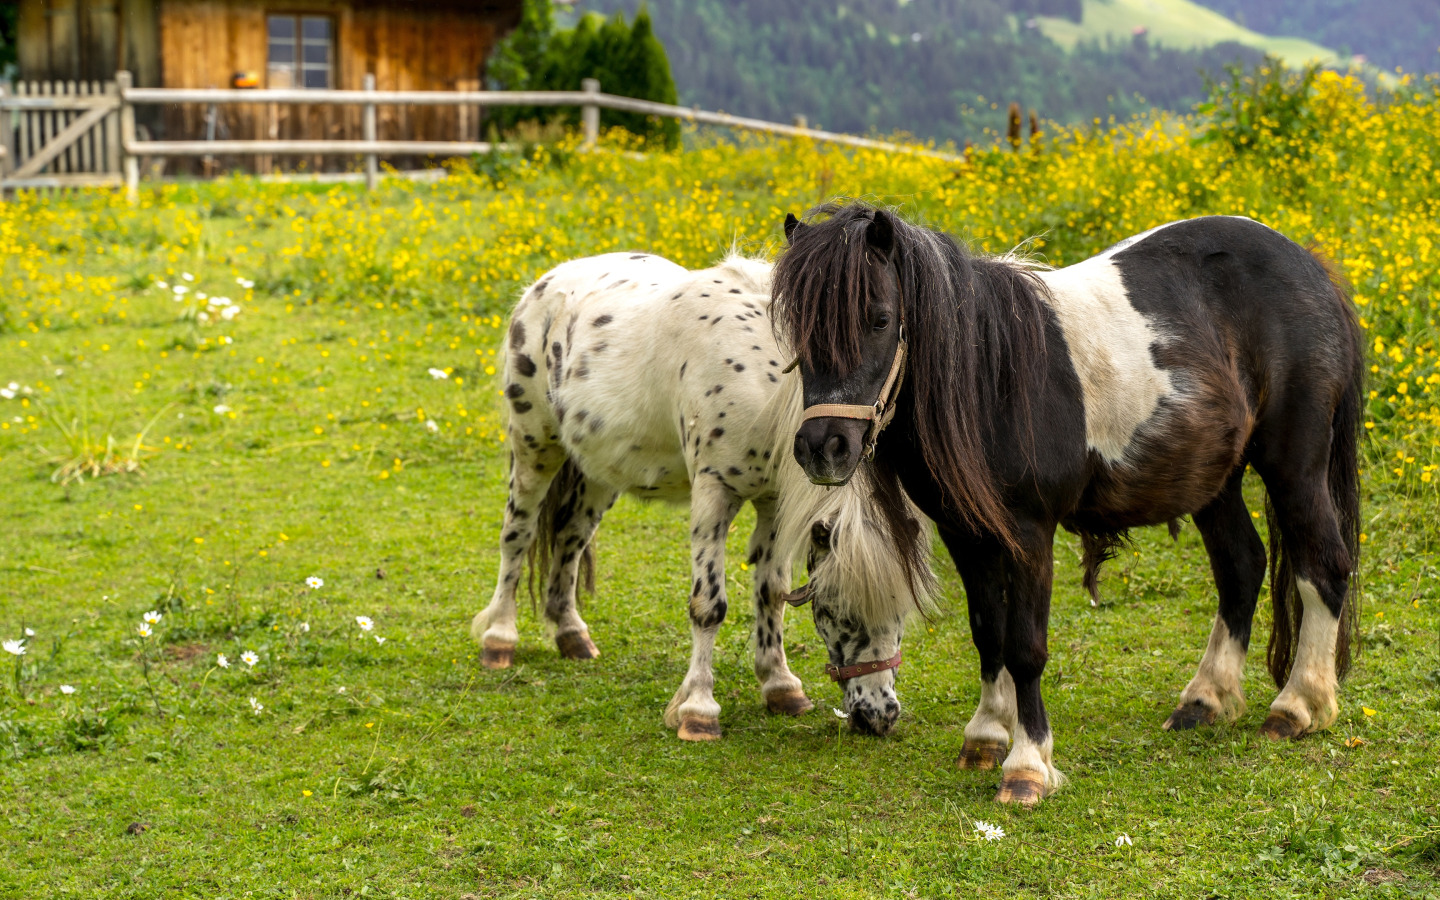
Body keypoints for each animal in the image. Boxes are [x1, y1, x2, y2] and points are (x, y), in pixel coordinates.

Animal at [466, 250, 927, 737]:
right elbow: (709, 606)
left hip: (598, 474)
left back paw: (571, 634)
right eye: (838, 610)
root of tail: (547, 281)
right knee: (516, 536)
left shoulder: (773, 502)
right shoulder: (713, 496)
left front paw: (781, 686)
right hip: (534, 450)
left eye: (901, 615)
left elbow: (772, 592)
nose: (878, 716)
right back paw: (499, 638)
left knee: (570, 540)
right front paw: (698, 709)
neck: (765, 380)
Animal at [777, 203, 1359, 806]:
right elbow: (988, 633)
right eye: (797, 326)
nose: (823, 448)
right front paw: (986, 736)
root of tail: (1311, 268)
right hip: (1212, 480)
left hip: (1295, 468)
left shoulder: (1030, 532)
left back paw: (1298, 706)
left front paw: (1028, 766)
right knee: (1242, 567)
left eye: (879, 318)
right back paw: (1205, 700)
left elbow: (1025, 648)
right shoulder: (965, 534)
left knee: (1324, 568)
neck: (991, 378)